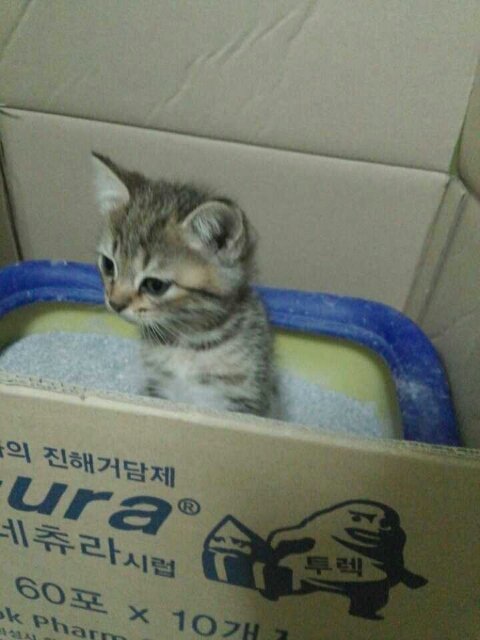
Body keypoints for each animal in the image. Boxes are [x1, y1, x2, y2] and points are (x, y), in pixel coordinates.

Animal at [92, 153, 275, 416]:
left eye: (155, 285)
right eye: (108, 265)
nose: (115, 303)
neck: (187, 343)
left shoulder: (241, 399)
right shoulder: (159, 388)